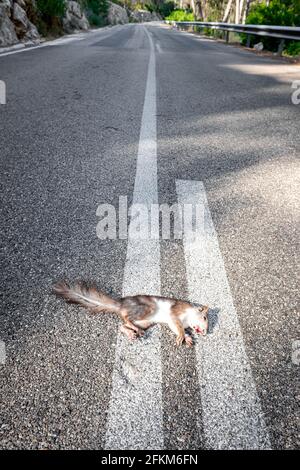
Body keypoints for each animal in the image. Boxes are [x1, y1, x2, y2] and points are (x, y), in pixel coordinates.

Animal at [53, 280, 209, 346]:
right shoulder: (176, 312)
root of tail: (121, 305)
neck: (188, 317)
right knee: (126, 318)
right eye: (205, 318)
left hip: (146, 322)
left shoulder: (174, 323)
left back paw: (131, 332)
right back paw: (133, 329)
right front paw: (182, 336)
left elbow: (178, 329)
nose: (205, 333)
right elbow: (178, 326)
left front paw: (188, 338)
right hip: (146, 309)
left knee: (122, 325)